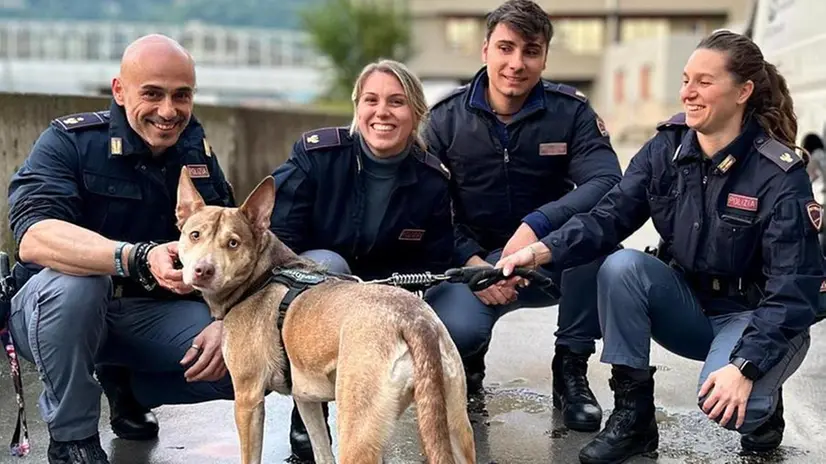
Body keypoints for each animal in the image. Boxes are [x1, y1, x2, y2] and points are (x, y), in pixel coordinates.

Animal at [174, 168, 474, 464]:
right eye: (195, 235)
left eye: (233, 243)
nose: (203, 270)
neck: (262, 275)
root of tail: (413, 320)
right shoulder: (306, 400)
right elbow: (321, 451)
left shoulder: (248, 399)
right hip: (454, 426)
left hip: (357, 431)